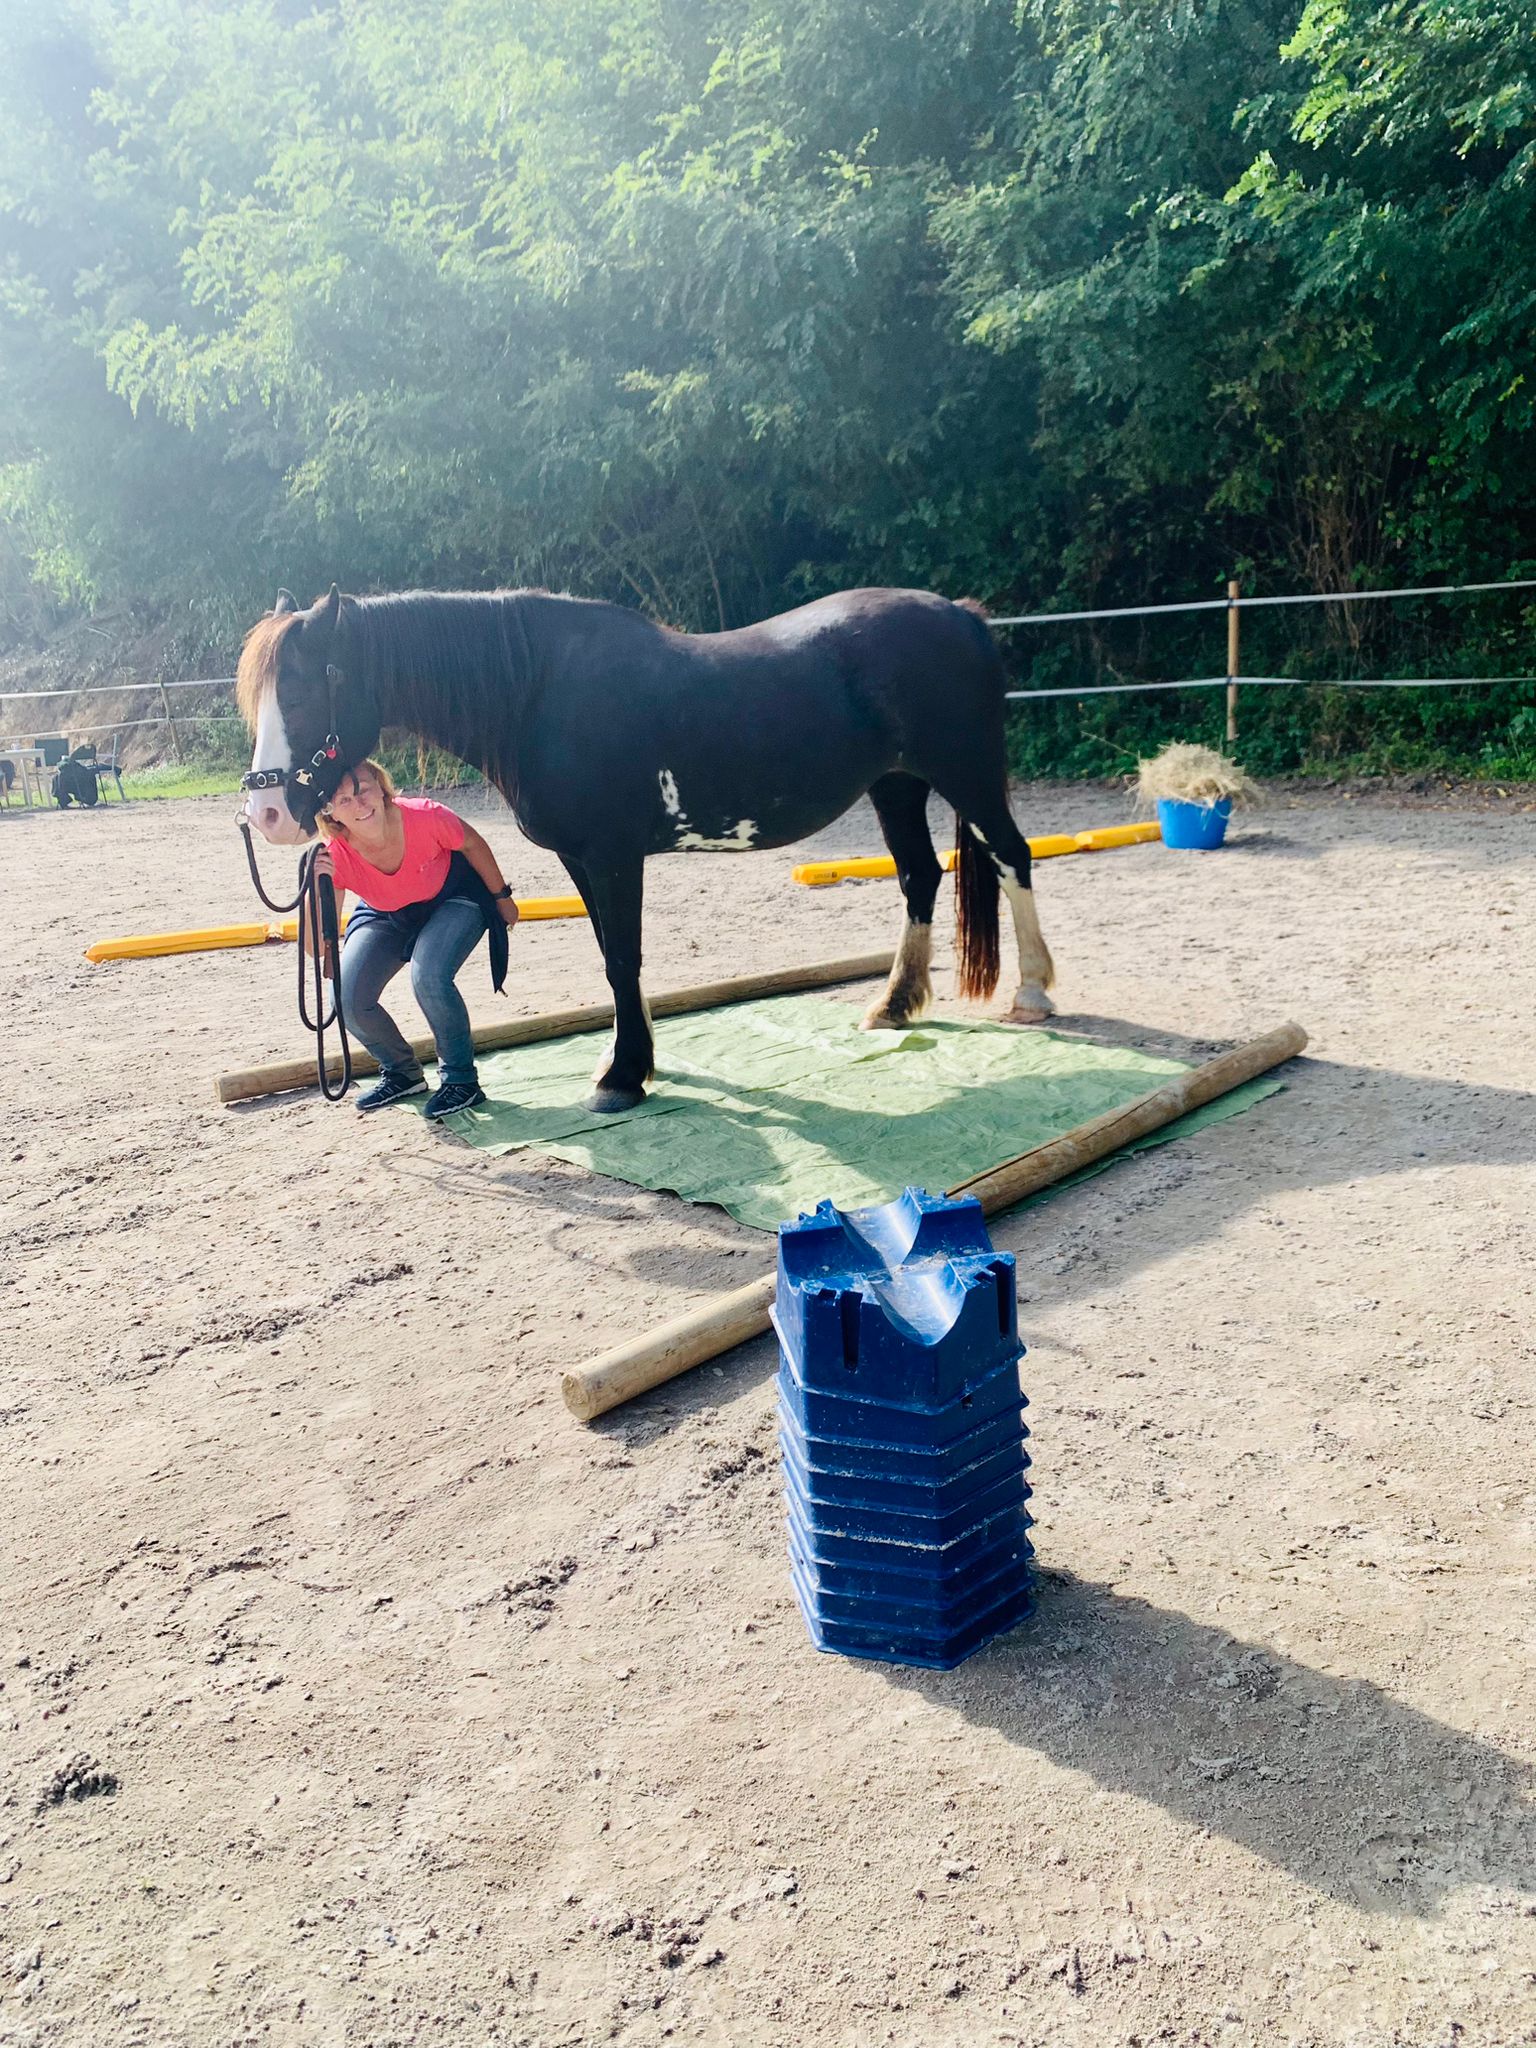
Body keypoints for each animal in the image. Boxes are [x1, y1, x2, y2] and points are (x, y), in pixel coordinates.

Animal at [237, 585, 1056, 1114]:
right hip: (897, 786)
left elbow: (622, 959)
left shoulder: (611, 855)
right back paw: (892, 1006)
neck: (538, 694)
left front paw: (623, 1078)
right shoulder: (580, 859)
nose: (267, 814)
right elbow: (609, 954)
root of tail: (964, 618)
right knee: (919, 877)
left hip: (966, 771)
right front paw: (631, 1061)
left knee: (1013, 857)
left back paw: (1033, 994)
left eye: (303, 690)